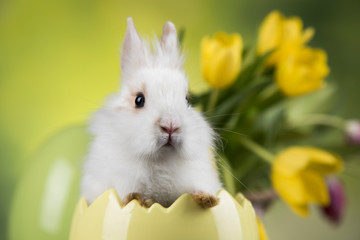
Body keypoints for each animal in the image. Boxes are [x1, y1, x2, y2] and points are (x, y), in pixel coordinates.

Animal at [81, 17, 222, 208]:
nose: (171, 126)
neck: (161, 161)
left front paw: (206, 199)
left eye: (187, 100)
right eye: (139, 100)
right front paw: (137, 199)